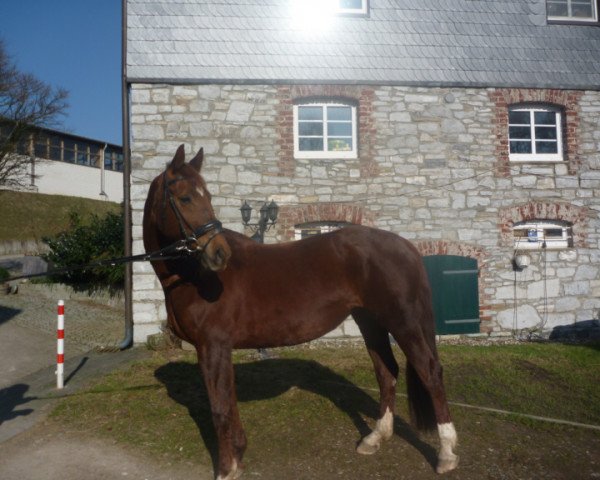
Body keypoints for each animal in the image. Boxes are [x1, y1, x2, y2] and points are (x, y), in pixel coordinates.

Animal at [142, 146, 460, 480]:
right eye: (186, 198)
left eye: (207, 196)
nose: (219, 254)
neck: (193, 275)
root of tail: (406, 246)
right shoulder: (216, 349)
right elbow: (227, 403)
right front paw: (238, 457)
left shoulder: (213, 346)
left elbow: (220, 408)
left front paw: (227, 468)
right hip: (370, 321)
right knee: (387, 372)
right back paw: (375, 438)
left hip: (403, 322)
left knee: (430, 372)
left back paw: (446, 453)